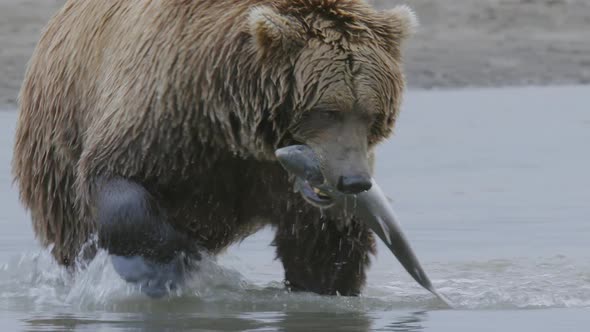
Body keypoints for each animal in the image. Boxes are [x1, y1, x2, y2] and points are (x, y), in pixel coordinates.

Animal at [13, 0, 418, 296]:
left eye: (373, 114)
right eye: (327, 111)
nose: (354, 181)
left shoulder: (273, 177)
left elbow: (321, 244)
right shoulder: (164, 113)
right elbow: (114, 179)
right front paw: (174, 257)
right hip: (56, 141)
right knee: (73, 234)